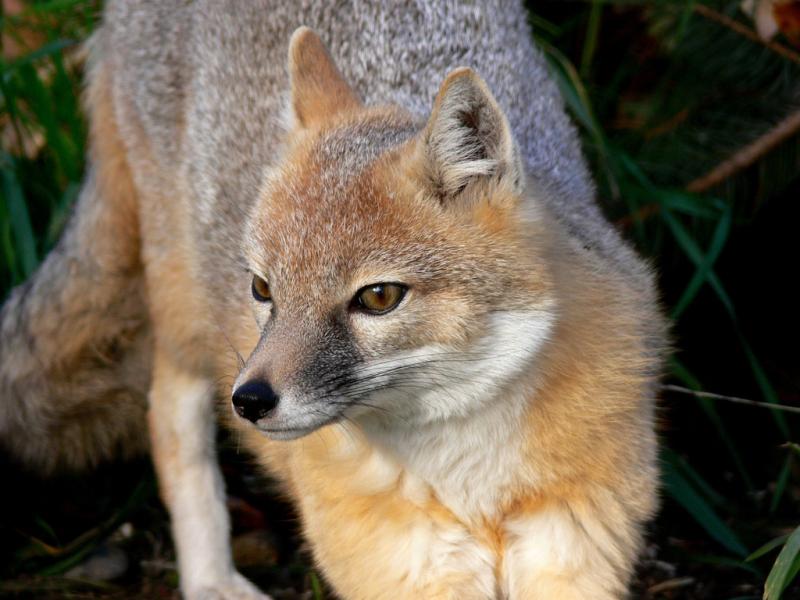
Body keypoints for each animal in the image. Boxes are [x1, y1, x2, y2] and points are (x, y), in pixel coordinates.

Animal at [0, 2, 664, 596]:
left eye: (378, 297)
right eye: (263, 289)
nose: (249, 401)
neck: (471, 482)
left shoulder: (574, 548)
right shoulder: (403, 571)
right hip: (183, 305)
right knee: (168, 413)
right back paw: (210, 578)